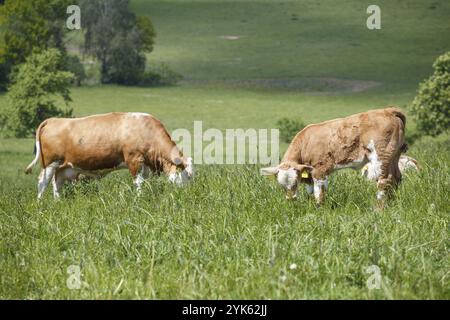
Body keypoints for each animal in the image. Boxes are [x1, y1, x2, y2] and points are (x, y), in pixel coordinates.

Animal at [24, 111, 193, 199]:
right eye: (185, 174)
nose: (187, 195)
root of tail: (52, 120)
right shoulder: (134, 160)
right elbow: (138, 182)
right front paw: (139, 199)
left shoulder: (145, 164)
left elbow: (144, 181)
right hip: (50, 163)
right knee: (43, 182)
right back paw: (40, 204)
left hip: (63, 167)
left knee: (57, 184)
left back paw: (57, 203)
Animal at [262, 107, 406, 208]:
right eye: (281, 186)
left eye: (295, 183)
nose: (291, 200)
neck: (306, 143)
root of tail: (388, 110)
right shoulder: (309, 174)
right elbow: (310, 191)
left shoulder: (320, 170)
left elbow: (319, 192)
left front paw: (320, 209)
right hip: (394, 155)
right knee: (396, 178)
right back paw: (392, 204)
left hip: (381, 155)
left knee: (384, 180)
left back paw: (379, 208)